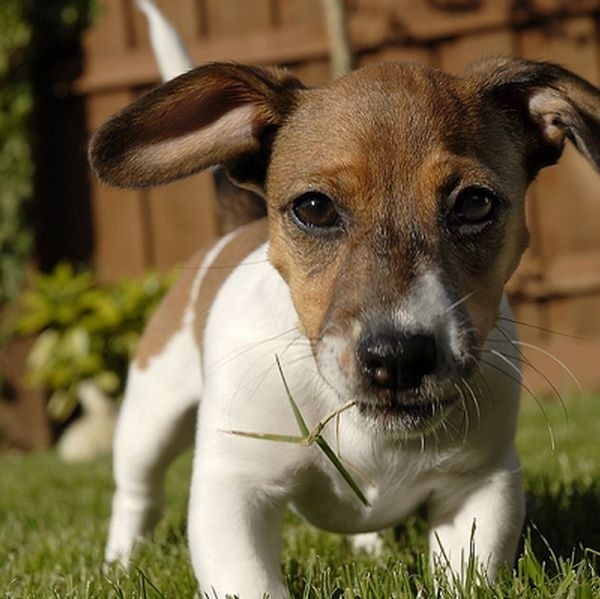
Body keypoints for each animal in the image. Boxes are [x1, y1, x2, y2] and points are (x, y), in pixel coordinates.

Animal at [89, 49, 600, 596]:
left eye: (475, 203)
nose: (398, 358)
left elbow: (468, 572)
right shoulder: (234, 489)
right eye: (314, 207)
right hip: (149, 419)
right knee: (136, 493)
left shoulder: (481, 484)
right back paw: (118, 564)